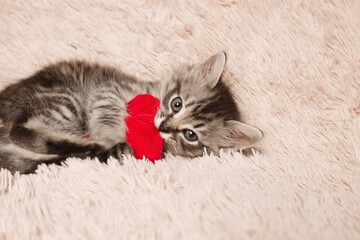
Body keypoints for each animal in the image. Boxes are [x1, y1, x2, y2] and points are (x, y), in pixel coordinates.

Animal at [0, 52, 262, 174]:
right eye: (177, 104)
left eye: (190, 135)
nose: (164, 128)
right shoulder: (108, 91)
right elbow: (108, 114)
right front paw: (108, 135)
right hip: (64, 99)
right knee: (21, 132)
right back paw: (94, 145)